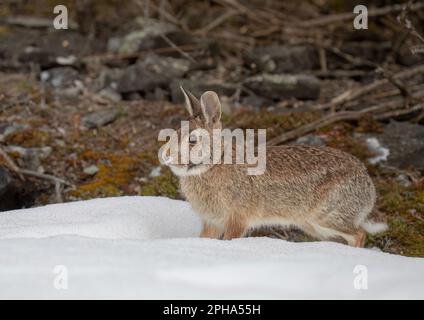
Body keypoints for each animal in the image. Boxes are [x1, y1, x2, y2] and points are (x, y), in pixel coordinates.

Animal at [161, 87, 388, 248]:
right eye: (175, 132)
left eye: (192, 141)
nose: (165, 155)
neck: (214, 163)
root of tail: (367, 184)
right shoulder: (212, 221)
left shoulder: (237, 218)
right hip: (315, 225)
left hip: (327, 216)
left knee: (358, 234)